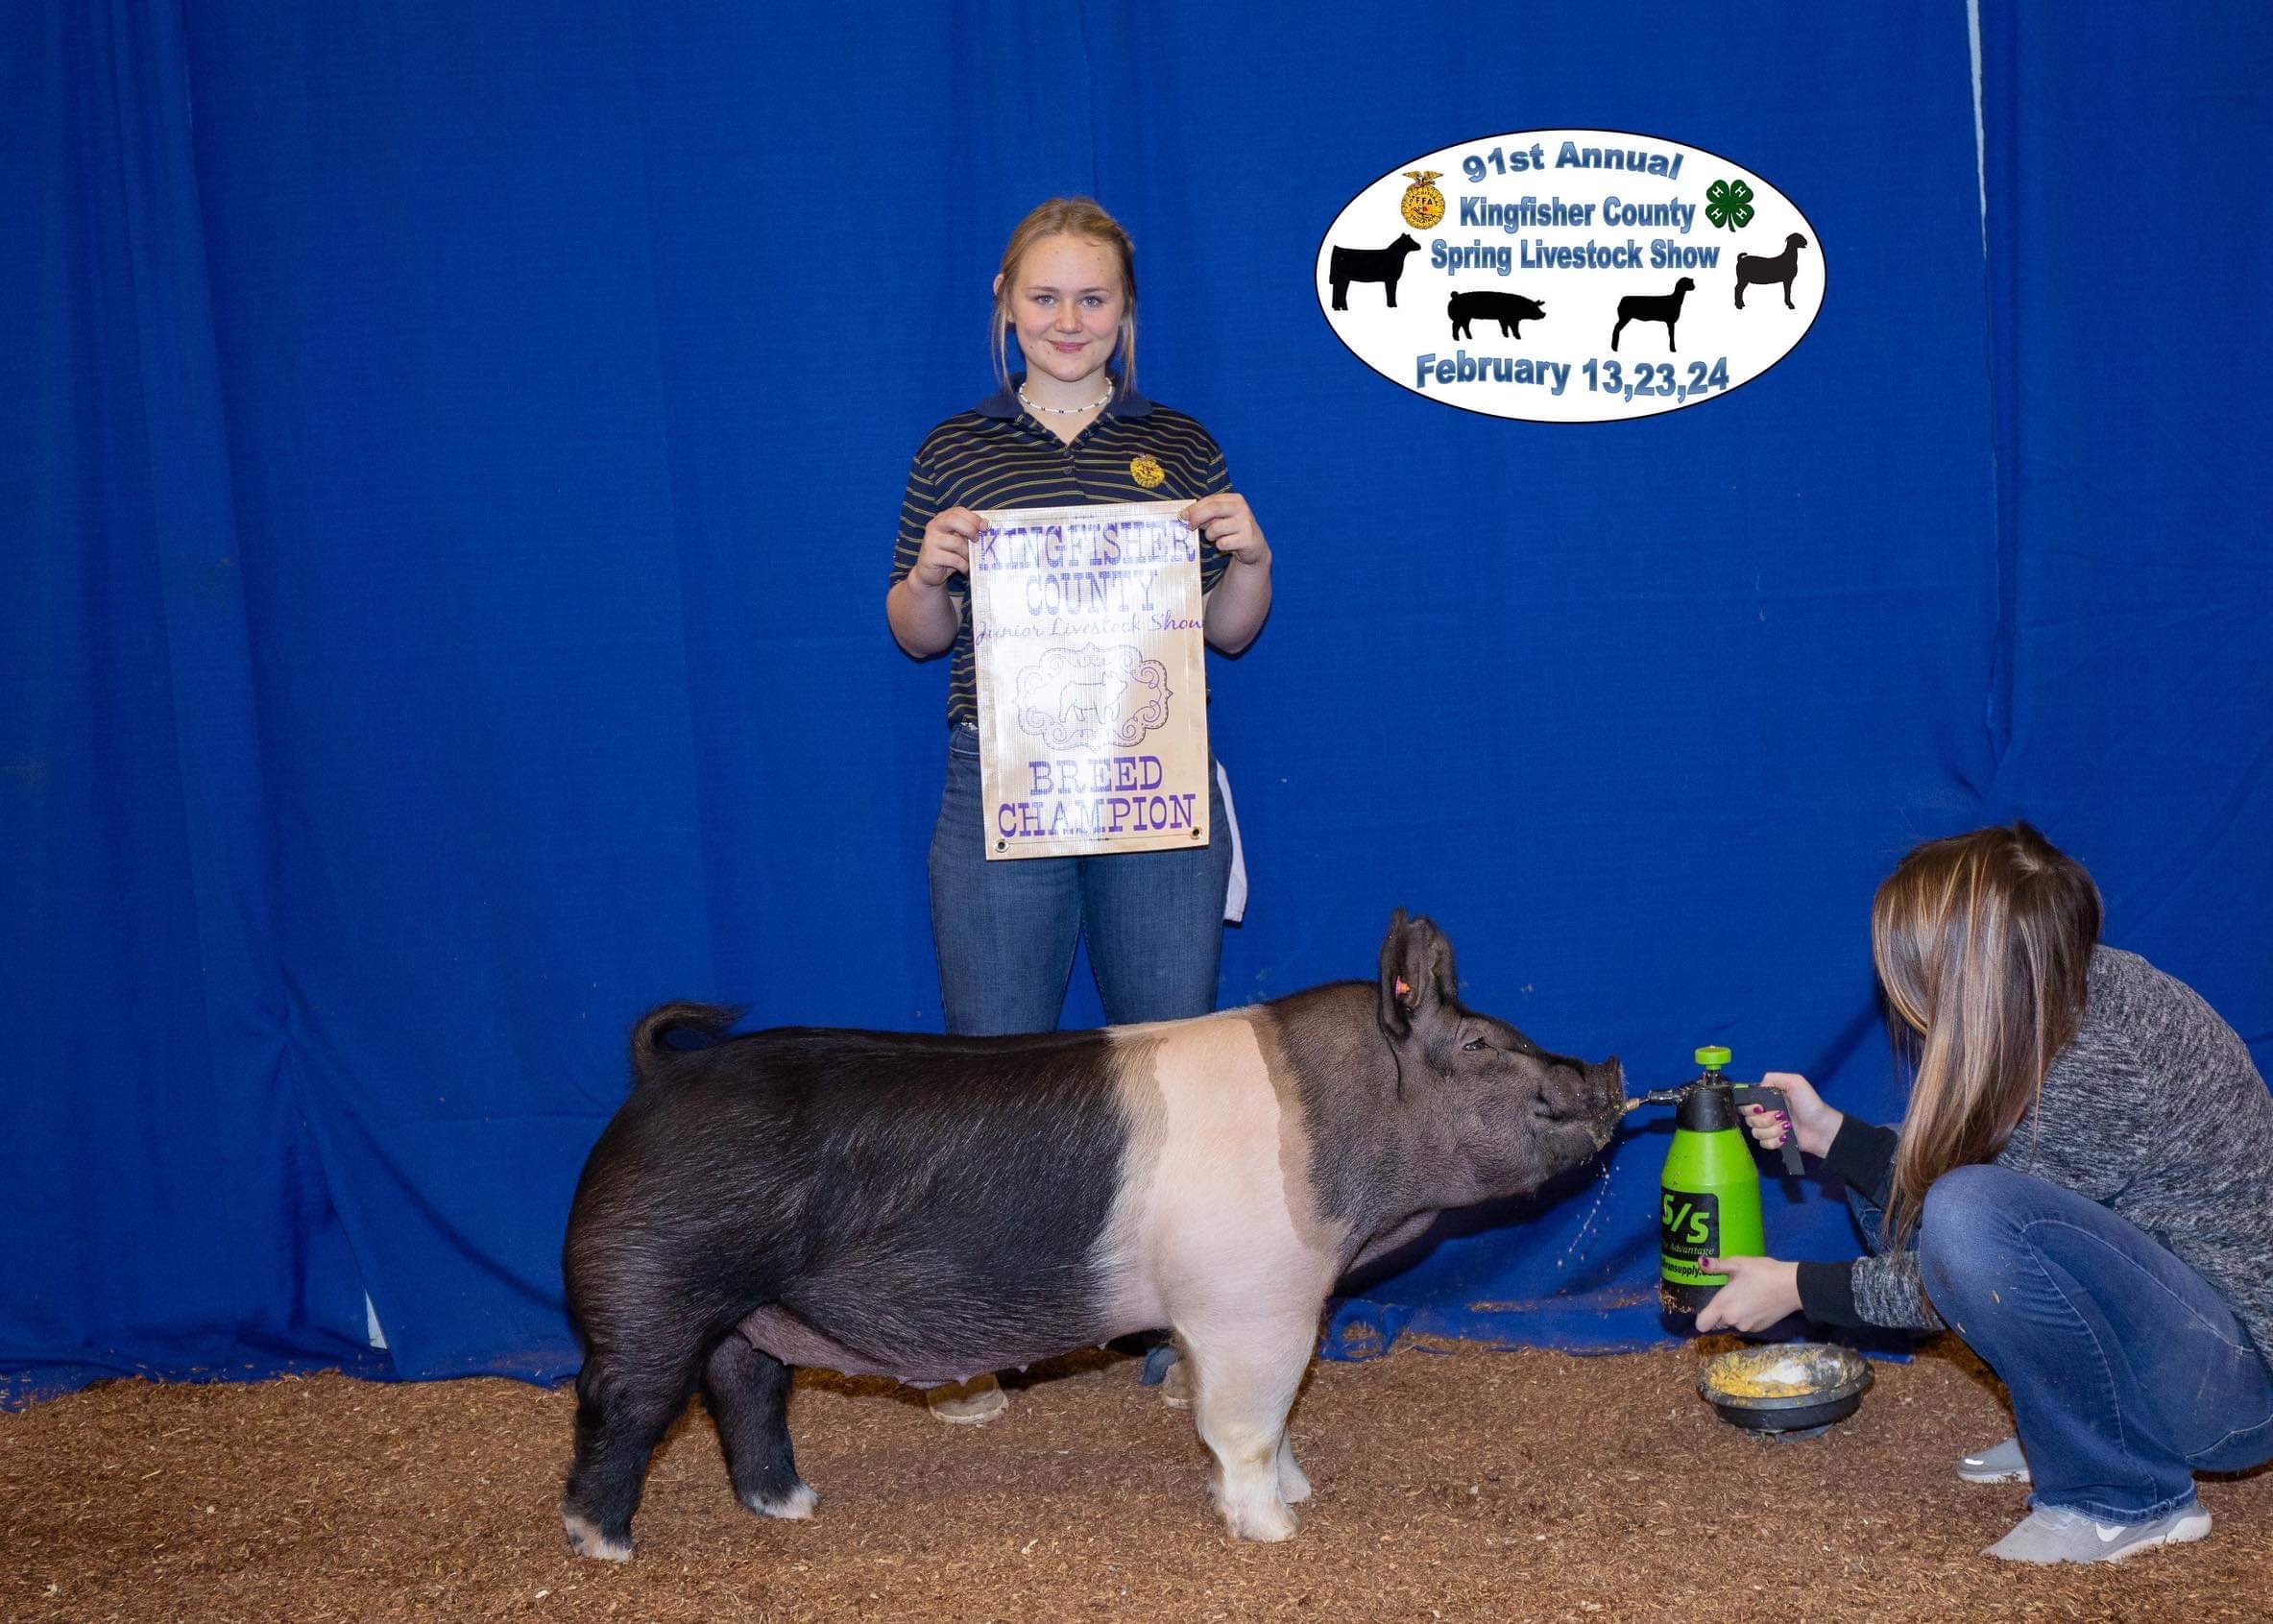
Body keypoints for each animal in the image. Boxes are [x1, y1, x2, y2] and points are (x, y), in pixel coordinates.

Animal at [559, 911, 1623, 1561]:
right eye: (1479, 1043)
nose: (1609, 1070)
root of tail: (654, 1080)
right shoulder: (1249, 1305)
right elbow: (1244, 1423)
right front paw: (1277, 1529)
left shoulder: (1252, 1307)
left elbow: (1275, 1418)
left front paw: (1304, 1489)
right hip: (652, 1286)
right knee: (624, 1403)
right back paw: (604, 1543)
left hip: (747, 1309)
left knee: (746, 1392)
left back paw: (793, 1506)